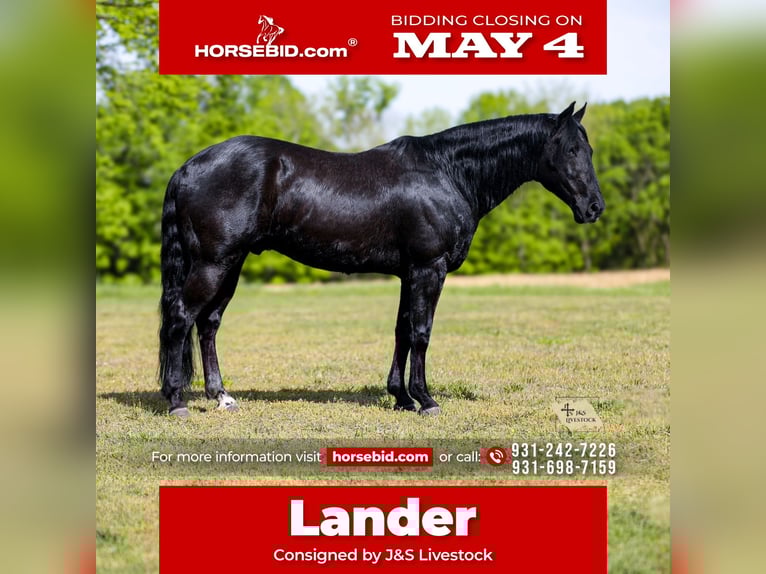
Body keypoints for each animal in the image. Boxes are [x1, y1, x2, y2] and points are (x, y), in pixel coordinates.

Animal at [158, 102, 604, 418]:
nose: (594, 207)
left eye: (589, 149)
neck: (447, 172)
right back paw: (176, 400)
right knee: (180, 318)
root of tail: (187, 168)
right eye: (570, 149)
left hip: (230, 264)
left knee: (208, 324)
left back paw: (221, 396)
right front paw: (426, 400)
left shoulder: (409, 274)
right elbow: (421, 332)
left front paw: (401, 397)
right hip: (213, 263)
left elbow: (402, 331)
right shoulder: (428, 268)